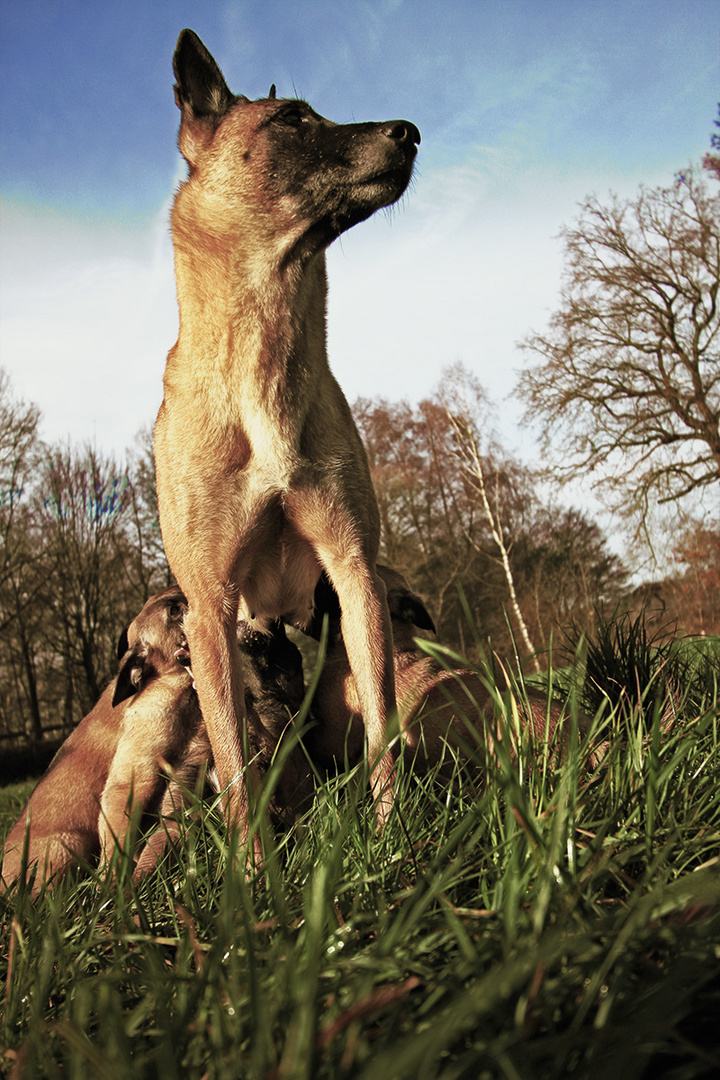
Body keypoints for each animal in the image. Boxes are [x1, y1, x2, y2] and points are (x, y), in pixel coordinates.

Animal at [155, 27, 418, 851]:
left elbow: (382, 728)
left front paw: (394, 842)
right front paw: (251, 871)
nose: (410, 131)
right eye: (292, 120)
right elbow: (234, 764)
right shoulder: (210, 608)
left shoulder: (355, 572)